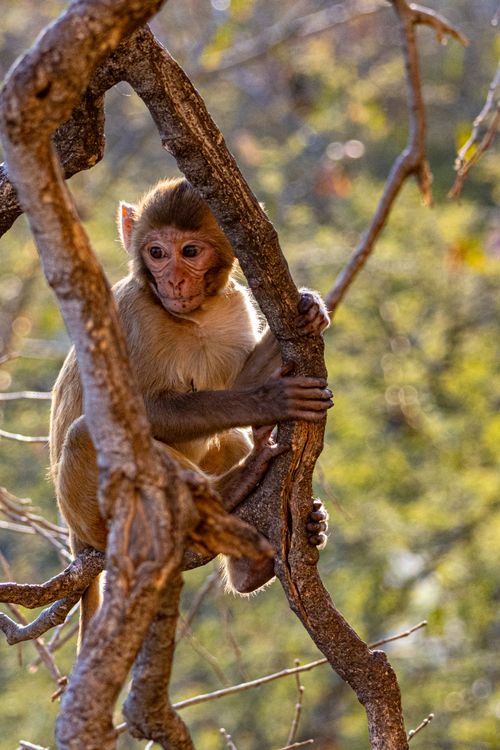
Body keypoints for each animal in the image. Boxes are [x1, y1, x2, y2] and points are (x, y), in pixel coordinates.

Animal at [49, 177, 331, 641]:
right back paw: (232, 488)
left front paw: (310, 307)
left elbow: (235, 383)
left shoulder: (234, 305)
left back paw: (250, 564)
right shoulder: (130, 316)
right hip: (94, 519)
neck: (192, 316)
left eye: (191, 252)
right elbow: (128, 411)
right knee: (88, 434)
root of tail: (77, 542)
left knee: (228, 438)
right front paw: (269, 400)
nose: (175, 281)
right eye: (157, 252)